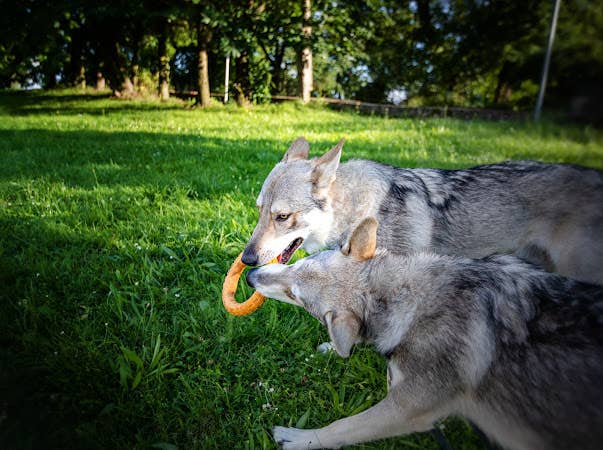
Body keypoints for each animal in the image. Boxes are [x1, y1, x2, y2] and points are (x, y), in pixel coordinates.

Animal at [245, 219, 603, 450]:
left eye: (293, 295)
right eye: (295, 268)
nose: (250, 276)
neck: (411, 301)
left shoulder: (409, 410)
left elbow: (342, 426)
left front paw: (299, 439)